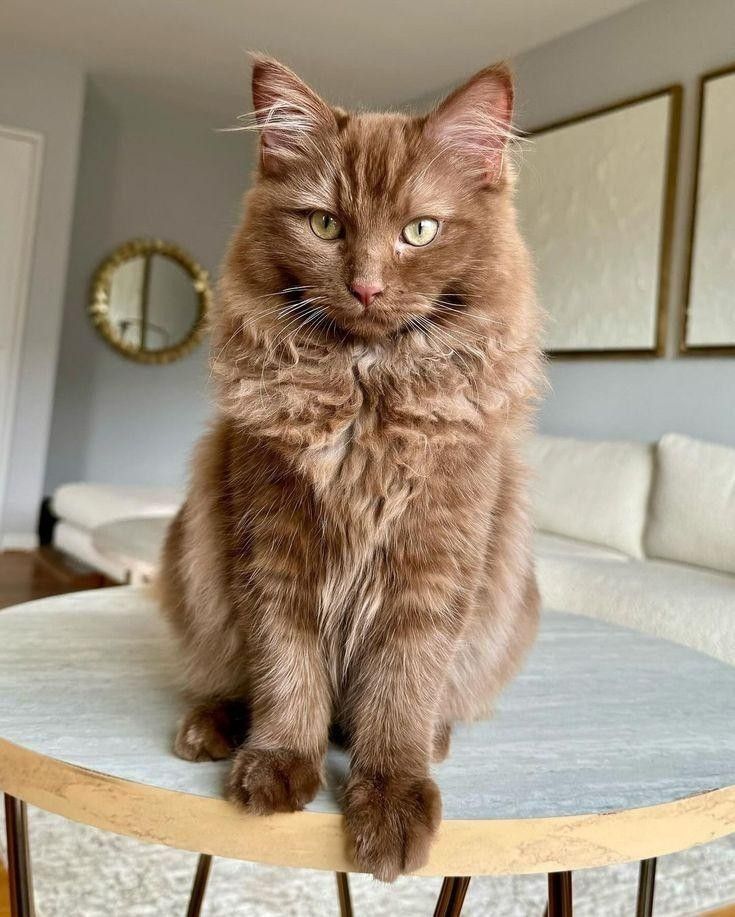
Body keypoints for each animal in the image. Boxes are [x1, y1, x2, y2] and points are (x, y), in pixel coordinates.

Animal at [158, 55, 544, 880]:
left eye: (418, 230)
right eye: (325, 224)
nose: (365, 285)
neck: (364, 393)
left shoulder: (433, 560)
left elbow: (402, 686)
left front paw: (391, 796)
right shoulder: (271, 543)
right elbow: (285, 665)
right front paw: (277, 762)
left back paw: (433, 739)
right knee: (226, 675)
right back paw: (212, 727)